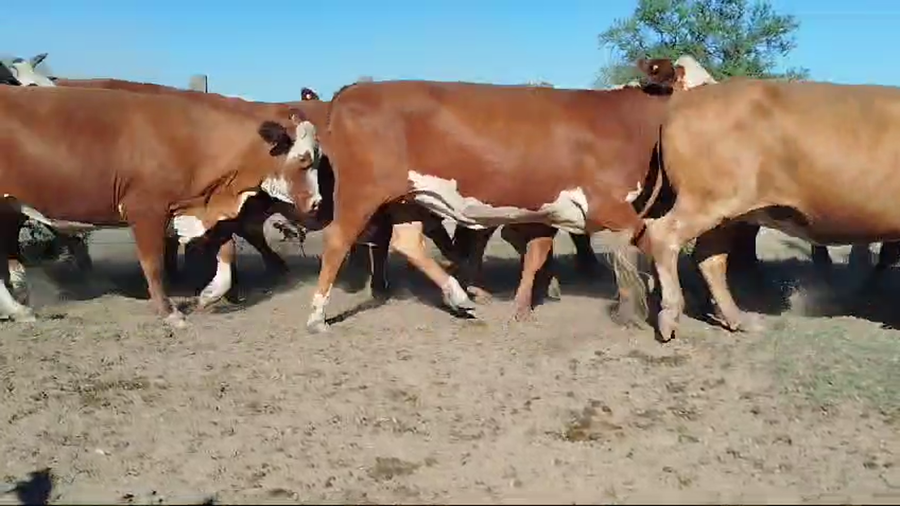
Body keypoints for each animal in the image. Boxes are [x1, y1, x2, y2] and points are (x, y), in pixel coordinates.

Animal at [0, 84, 317, 326]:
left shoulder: (191, 211)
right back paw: (18, 308)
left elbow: (226, 252)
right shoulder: (146, 211)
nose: (317, 203)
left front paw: (208, 295)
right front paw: (169, 311)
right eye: (304, 160)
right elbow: (153, 264)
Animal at [297, 78, 672, 332]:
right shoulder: (609, 205)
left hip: (406, 198)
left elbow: (538, 253)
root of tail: (353, 90)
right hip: (361, 193)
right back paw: (316, 316)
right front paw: (657, 309)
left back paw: (459, 295)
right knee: (338, 240)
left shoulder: (549, 212)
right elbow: (652, 246)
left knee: (408, 243)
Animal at [638, 57, 900, 341]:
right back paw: (670, 316)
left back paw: (738, 319)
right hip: (706, 201)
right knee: (664, 235)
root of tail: (695, 94)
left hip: (726, 214)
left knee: (709, 258)